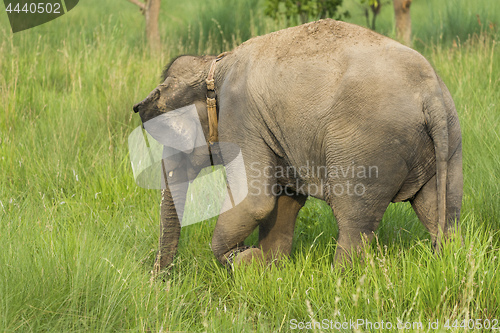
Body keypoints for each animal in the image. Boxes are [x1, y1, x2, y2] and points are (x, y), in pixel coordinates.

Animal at [134, 18, 464, 270]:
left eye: (173, 135)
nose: (159, 280)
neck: (214, 64)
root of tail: (430, 94)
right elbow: (284, 201)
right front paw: (270, 269)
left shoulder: (241, 118)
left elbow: (255, 202)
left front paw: (245, 261)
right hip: (449, 140)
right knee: (442, 213)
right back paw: (446, 261)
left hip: (366, 146)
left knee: (355, 222)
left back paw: (340, 278)